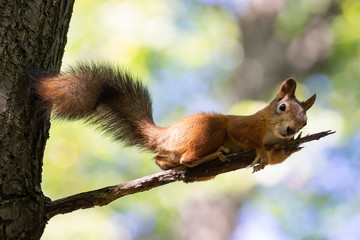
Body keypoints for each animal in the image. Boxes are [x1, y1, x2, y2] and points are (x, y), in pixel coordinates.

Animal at [33, 62, 316, 172]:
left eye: (305, 120)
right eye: (282, 108)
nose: (292, 129)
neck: (269, 130)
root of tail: (164, 134)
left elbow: (277, 156)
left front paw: (291, 146)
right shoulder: (243, 125)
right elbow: (246, 137)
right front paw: (259, 151)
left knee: (162, 160)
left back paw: (169, 165)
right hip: (209, 129)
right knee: (187, 157)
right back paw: (212, 155)